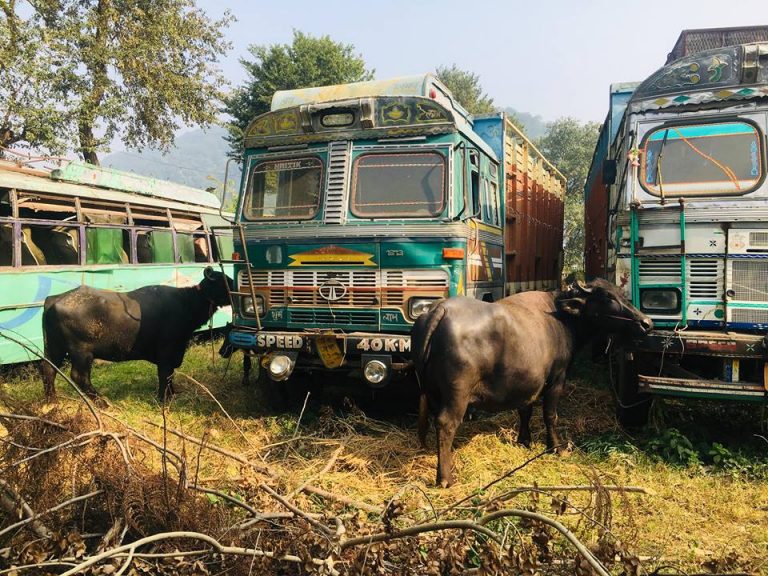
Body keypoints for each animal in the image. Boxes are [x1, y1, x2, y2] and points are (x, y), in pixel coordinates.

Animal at [41, 267, 232, 402]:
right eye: (225, 281)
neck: (186, 302)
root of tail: (53, 299)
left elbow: (170, 375)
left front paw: (172, 394)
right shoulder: (167, 351)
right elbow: (165, 374)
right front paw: (164, 398)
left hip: (54, 346)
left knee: (48, 369)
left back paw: (52, 401)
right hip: (81, 351)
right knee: (79, 376)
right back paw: (101, 402)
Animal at [412, 279, 652, 487]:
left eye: (621, 293)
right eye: (607, 297)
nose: (646, 322)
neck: (562, 319)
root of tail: (440, 309)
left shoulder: (526, 382)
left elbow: (525, 410)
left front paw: (524, 440)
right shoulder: (557, 378)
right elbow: (550, 415)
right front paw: (556, 447)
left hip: (430, 391)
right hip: (457, 395)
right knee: (446, 424)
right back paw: (446, 477)